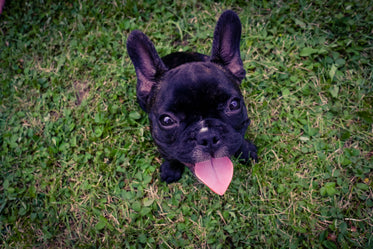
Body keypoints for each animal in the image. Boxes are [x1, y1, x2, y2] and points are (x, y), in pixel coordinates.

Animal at [126, 11, 258, 195]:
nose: (207, 136)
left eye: (233, 105)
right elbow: (169, 156)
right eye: (167, 121)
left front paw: (246, 151)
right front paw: (171, 170)